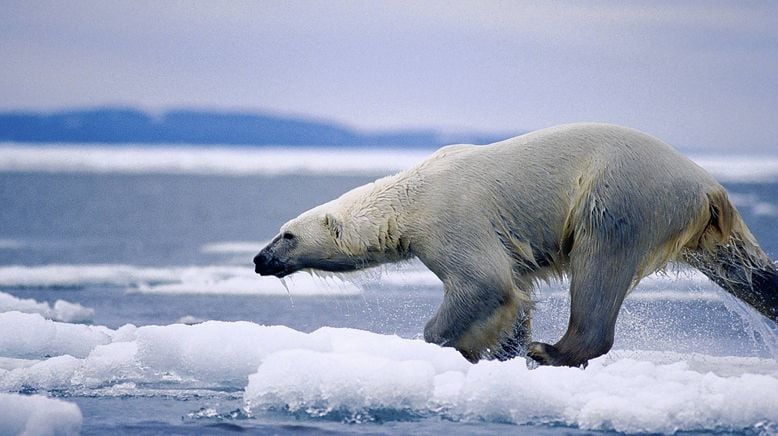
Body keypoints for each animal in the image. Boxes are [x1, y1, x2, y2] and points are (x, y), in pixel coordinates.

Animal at [255, 123, 776, 368]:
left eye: (287, 234)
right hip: (704, 232)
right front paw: (505, 348)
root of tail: (709, 188)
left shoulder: (451, 218)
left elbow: (483, 283)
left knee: (599, 267)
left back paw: (553, 351)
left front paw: (451, 342)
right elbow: (517, 291)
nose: (260, 260)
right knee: (749, 273)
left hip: (618, 196)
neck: (409, 196)